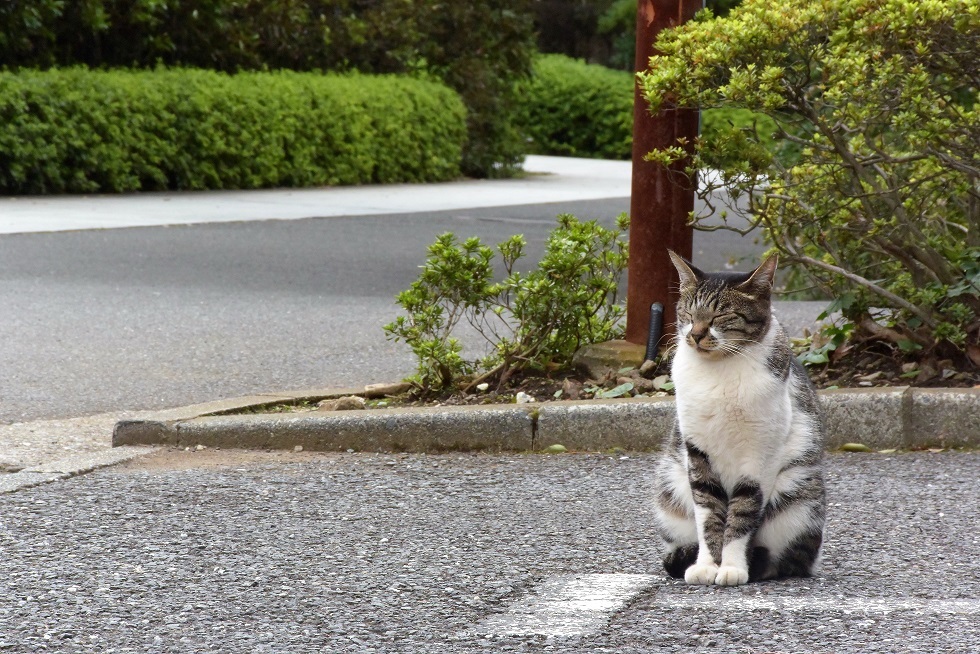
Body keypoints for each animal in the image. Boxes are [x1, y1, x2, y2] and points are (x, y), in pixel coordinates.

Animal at [652, 252, 828, 588]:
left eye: (721, 316)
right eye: (689, 312)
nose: (695, 334)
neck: (719, 370)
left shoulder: (760, 458)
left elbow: (743, 514)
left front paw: (732, 566)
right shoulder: (697, 452)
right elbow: (708, 513)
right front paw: (707, 565)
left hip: (800, 497)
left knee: (790, 561)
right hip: (671, 488)